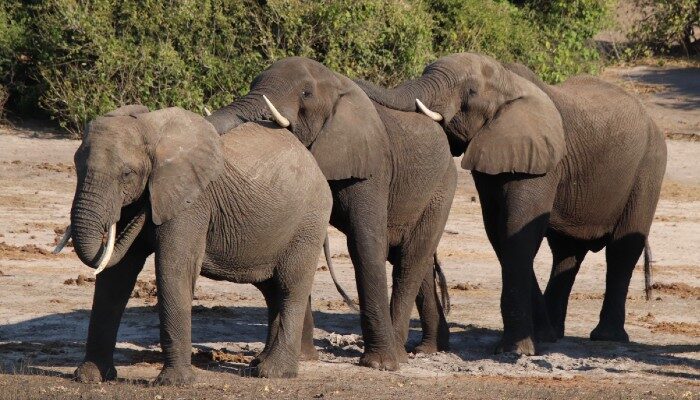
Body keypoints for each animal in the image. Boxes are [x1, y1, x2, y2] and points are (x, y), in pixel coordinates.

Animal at [53, 105, 332, 384]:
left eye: (126, 174)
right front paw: (89, 377)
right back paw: (258, 364)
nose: (145, 208)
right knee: (271, 290)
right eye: (77, 167)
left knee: (290, 287)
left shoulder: (192, 202)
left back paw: (273, 373)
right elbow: (116, 274)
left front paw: (173, 383)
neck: (151, 130)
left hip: (308, 223)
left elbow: (173, 267)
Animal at [206, 57, 460, 370]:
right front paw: (302, 358)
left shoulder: (372, 166)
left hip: (442, 187)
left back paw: (398, 355)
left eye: (306, 93)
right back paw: (428, 349)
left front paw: (378, 365)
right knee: (416, 260)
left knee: (411, 259)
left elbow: (365, 244)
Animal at [356, 52, 668, 354]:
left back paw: (606, 337)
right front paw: (538, 339)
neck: (509, 82)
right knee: (567, 252)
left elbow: (517, 233)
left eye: (470, 91)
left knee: (622, 250)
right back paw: (555, 334)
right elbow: (500, 234)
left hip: (650, 165)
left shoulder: (542, 163)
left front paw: (515, 350)